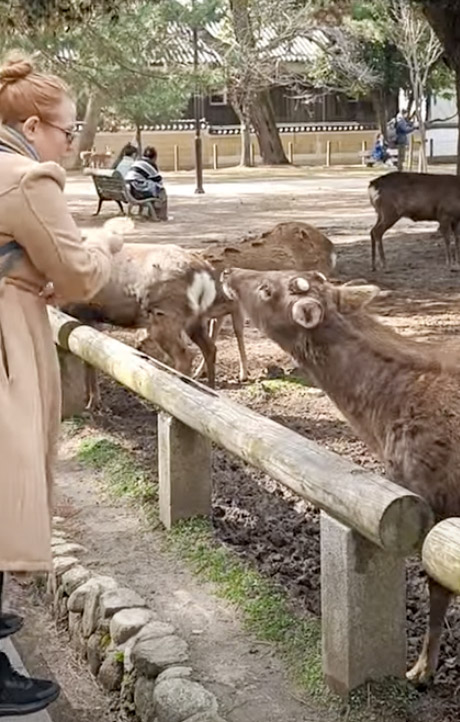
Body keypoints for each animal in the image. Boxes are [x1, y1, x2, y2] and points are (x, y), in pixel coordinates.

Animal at [222, 266, 460, 687]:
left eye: (267, 289)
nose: (229, 271)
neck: (383, 421)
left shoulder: (440, 502)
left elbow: (437, 591)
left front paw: (420, 670)